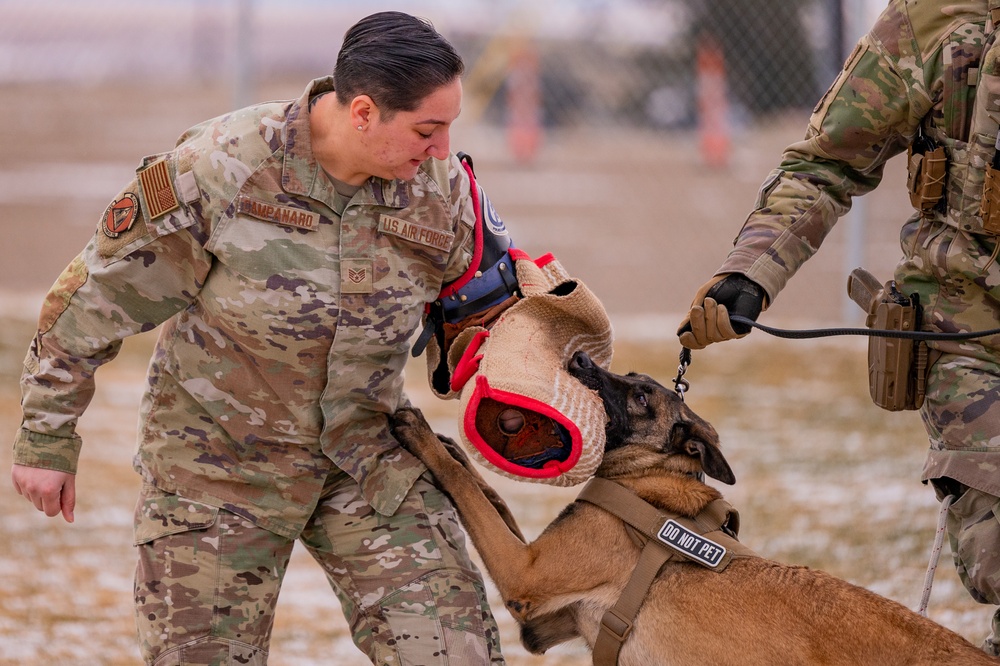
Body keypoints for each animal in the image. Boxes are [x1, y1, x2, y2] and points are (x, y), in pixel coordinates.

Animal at [390, 350, 992, 660]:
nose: (579, 355)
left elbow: (468, 491)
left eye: (639, 395)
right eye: (630, 376)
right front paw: (450, 446)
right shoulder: (542, 603)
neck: (647, 480)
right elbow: (487, 493)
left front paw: (419, 432)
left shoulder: (525, 575)